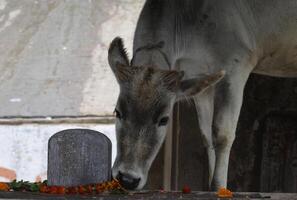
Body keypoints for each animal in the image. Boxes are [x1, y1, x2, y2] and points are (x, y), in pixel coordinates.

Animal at [107, 0, 296, 191]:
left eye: (164, 120)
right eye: (117, 112)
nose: (127, 178)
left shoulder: (236, 66)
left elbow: (223, 133)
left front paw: (219, 187)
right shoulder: (202, 85)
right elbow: (207, 135)